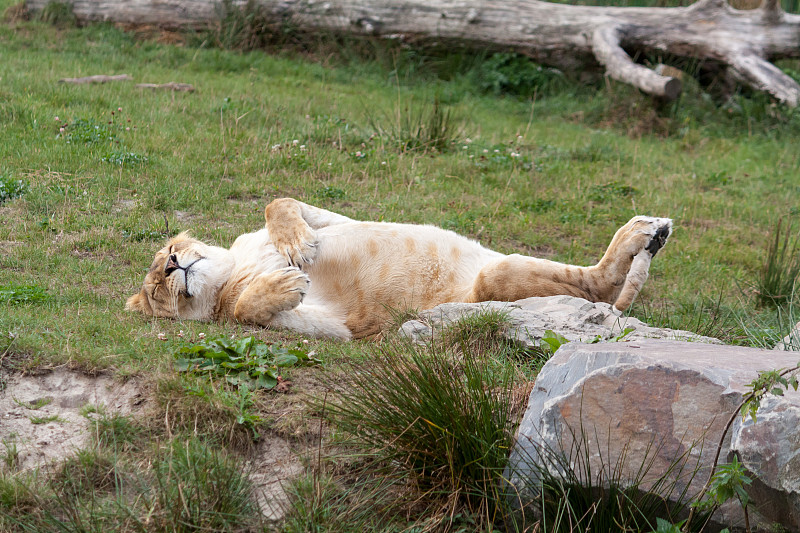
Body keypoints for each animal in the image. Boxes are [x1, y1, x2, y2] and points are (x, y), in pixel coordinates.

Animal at [125, 197, 672, 338]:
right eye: (156, 293)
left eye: (167, 249)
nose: (171, 268)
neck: (236, 267)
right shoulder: (337, 326)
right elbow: (242, 310)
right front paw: (284, 281)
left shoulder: (331, 219)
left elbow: (280, 203)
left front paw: (296, 247)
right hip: (493, 280)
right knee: (598, 288)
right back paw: (643, 237)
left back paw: (649, 232)